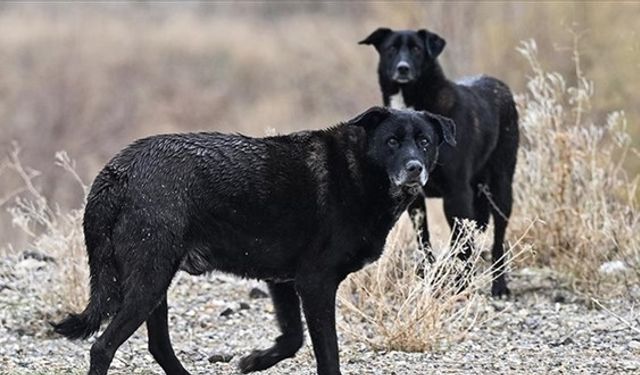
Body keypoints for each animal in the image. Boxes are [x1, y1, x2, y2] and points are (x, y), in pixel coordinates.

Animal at [360, 27, 520, 296]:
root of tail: (500, 85)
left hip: (501, 188)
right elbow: (424, 241)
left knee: (498, 238)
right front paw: (430, 278)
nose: (403, 68)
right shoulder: (416, 200)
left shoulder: (456, 194)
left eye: (417, 49)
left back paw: (499, 285)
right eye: (391, 48)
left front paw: (462, 285)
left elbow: (463, 243)